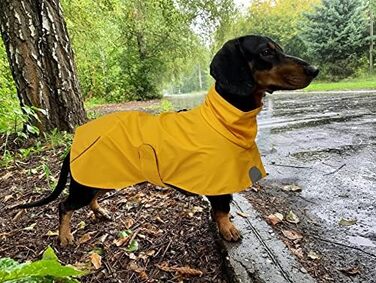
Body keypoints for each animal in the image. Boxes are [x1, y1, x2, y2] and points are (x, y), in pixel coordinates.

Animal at [16, 35, 318, 246]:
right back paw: (65, 236)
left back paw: (100, 213)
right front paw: (228, 229)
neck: (223, 119)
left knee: (90, 200)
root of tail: (75, 143)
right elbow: (222, 210)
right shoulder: (219, 185)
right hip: (86, 184)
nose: (315, 69)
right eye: (266, 51)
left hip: (102, 177)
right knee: (64, 206)